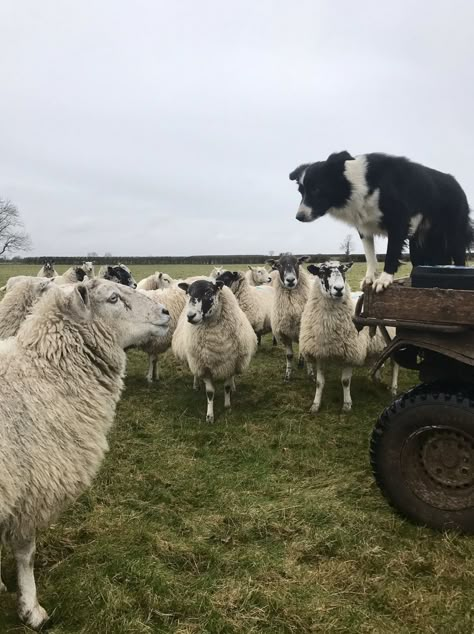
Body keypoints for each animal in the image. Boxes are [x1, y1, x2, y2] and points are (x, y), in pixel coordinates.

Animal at [0, 278, 169, 628]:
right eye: (113, 298)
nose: (166, 311)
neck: (44, 371)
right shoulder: (30, 490)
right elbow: (26, 555)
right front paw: (32, 610)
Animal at [171, 278, 258, 422]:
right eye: (188, 293)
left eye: (208, 292)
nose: (190, 316)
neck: (216, 340)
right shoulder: (203, 366)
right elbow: (210, 392)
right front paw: (209, 416)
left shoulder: (230, 364)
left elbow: (226, 386)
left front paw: (227, 405)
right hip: (194, 359)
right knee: (196, 374)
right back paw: (196, 385)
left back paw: (233, 387)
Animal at [266, 252, 312, 380]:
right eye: (278, 265)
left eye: (297, 262)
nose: (290, 280)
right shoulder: (284, 334)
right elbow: (289, 356)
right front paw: (287, 375)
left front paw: (311, 375)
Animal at [290, 153, 472, 292]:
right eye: (301, 191)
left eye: (316, 189)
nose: (299, 217)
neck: (358, 186)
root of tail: (457, 184)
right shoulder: (364, 226)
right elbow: (370, 255)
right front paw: (369, 278)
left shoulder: (399, 221)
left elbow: (391, 253)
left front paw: (384, 280)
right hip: (420, 241)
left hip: (454, 232)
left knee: (459, 257)